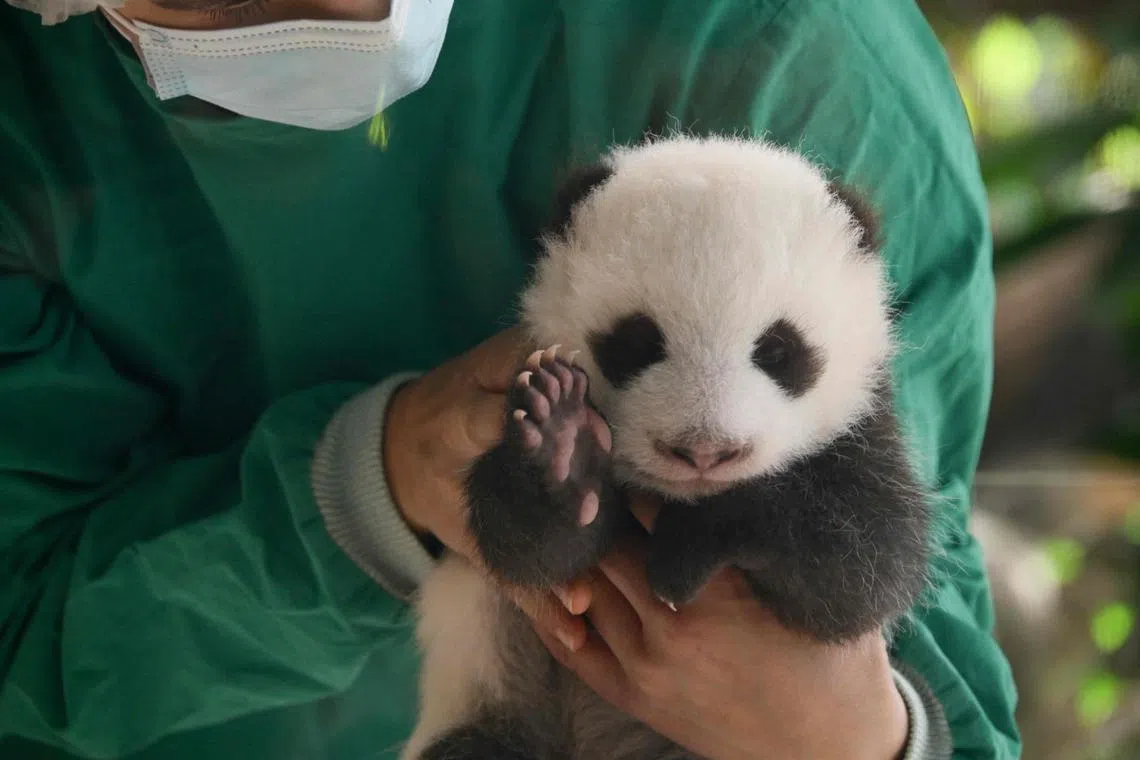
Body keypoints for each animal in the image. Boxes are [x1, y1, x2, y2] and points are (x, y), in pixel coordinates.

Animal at [400, 135, 943, 760]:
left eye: (778, 350)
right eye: (638, 342)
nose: (703, 452)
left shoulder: (863, 427)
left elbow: (860, 570)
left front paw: (687, 552)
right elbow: (533, 555)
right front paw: (563, 453)